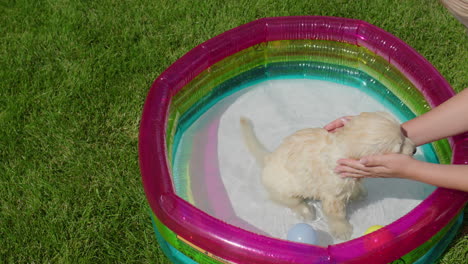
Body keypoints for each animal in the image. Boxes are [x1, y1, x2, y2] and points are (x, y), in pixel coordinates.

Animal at [239, 111, 414, 239]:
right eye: (399, 147)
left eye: (404, 133)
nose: (414, 150)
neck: (341, 149)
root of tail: (268, 158)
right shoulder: (333, 196)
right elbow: (336, 214)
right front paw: (342, 230)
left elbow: (353, 186)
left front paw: (358, 192)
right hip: (284, 187)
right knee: (290, 201)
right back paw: (306, 210)